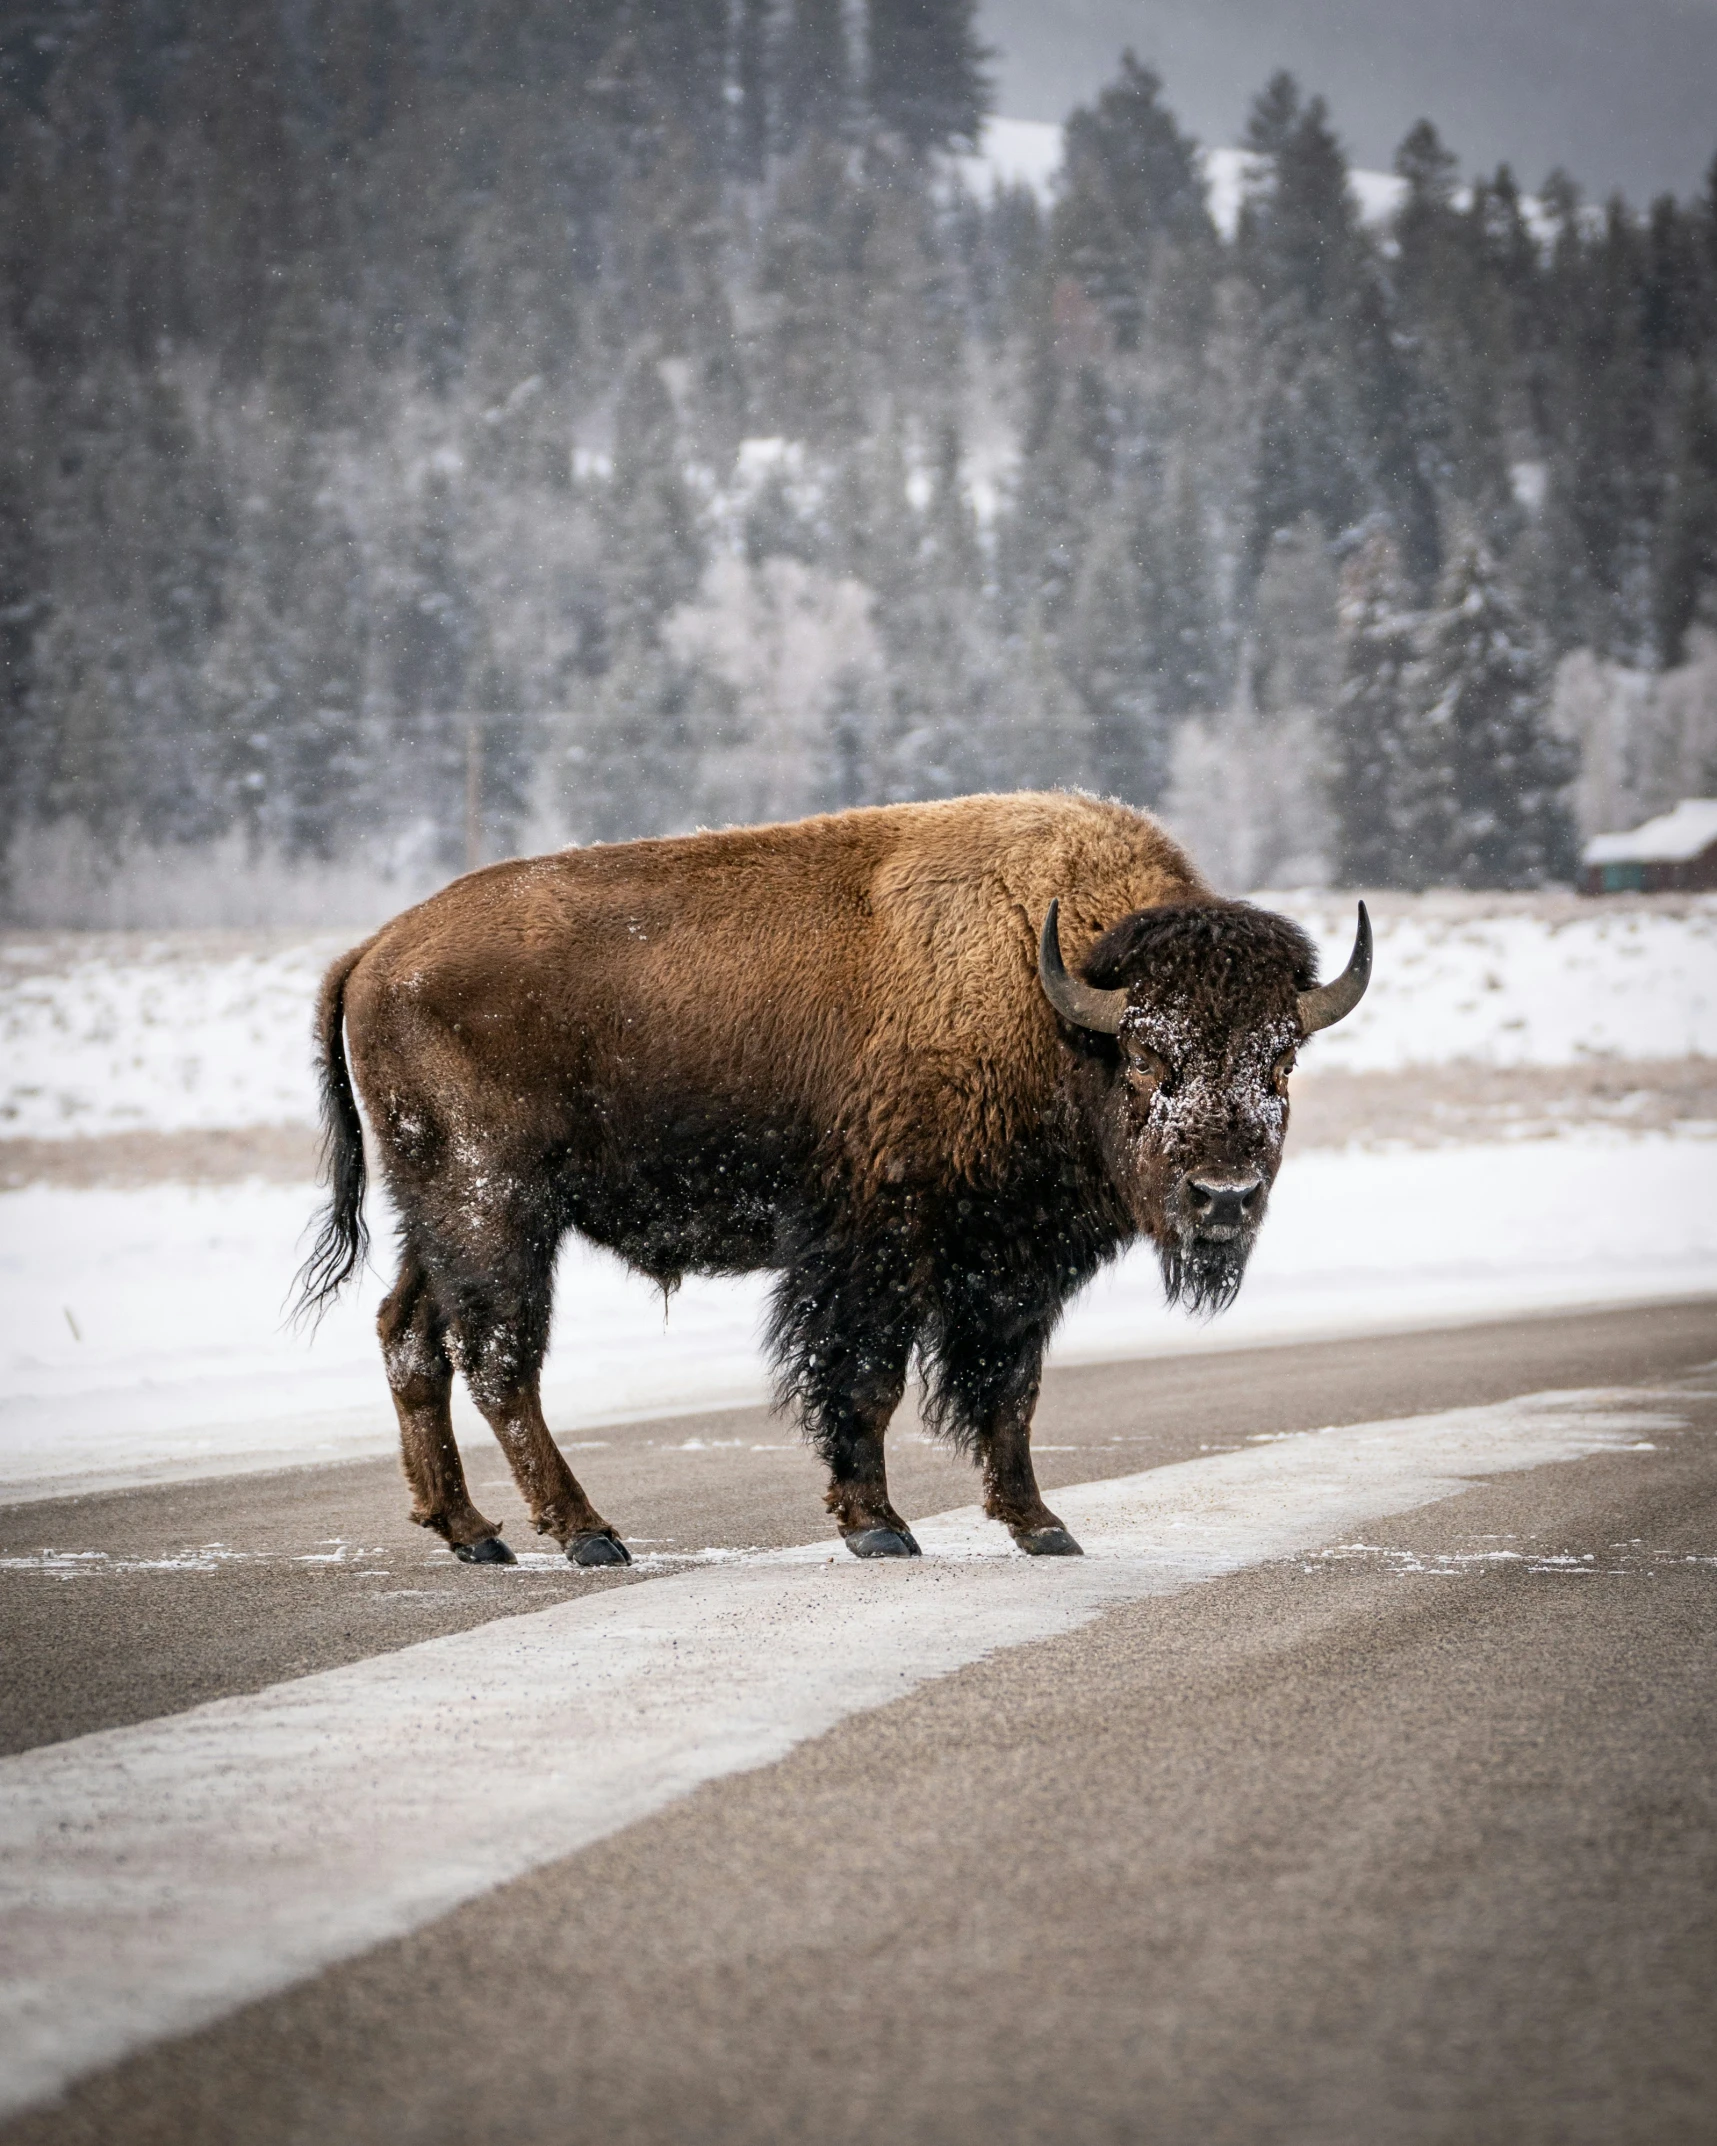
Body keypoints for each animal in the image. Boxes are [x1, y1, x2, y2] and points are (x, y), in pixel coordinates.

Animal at [296, 789, 1365, 1562]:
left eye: (1282, 1062)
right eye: (1147, 1055)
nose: (1223, 1198)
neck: (1051, 994)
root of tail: (375, 951)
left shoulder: (1010, 1268)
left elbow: (1009, 1392)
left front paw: (1041, 1526)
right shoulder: (876, 1247)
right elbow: (865, 1381)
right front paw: (878, 1527)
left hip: (440, 1216)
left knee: (413, 1340)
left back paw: (473, 1535)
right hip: (496, 1206)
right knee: (499, 1360)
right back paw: (588, 1536)